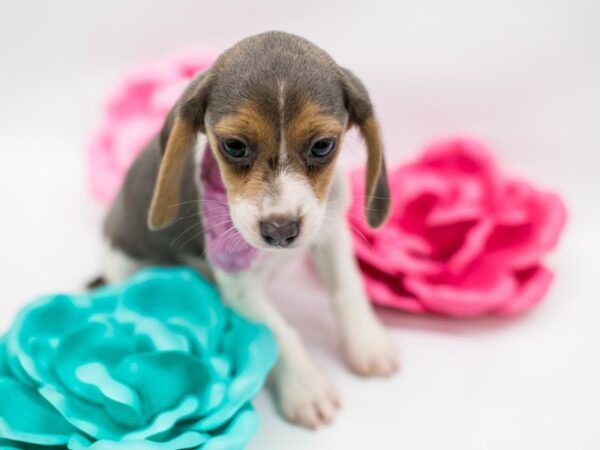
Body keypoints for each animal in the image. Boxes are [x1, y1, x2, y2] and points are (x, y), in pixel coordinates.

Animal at [103, 31, 398, 428]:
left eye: (323, 146)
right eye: (233, 146)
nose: (280, 230)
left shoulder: (331, 234)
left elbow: (347, 289)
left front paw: (368, 343)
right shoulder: (238, 284)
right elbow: (280, 332)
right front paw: (306, 387)